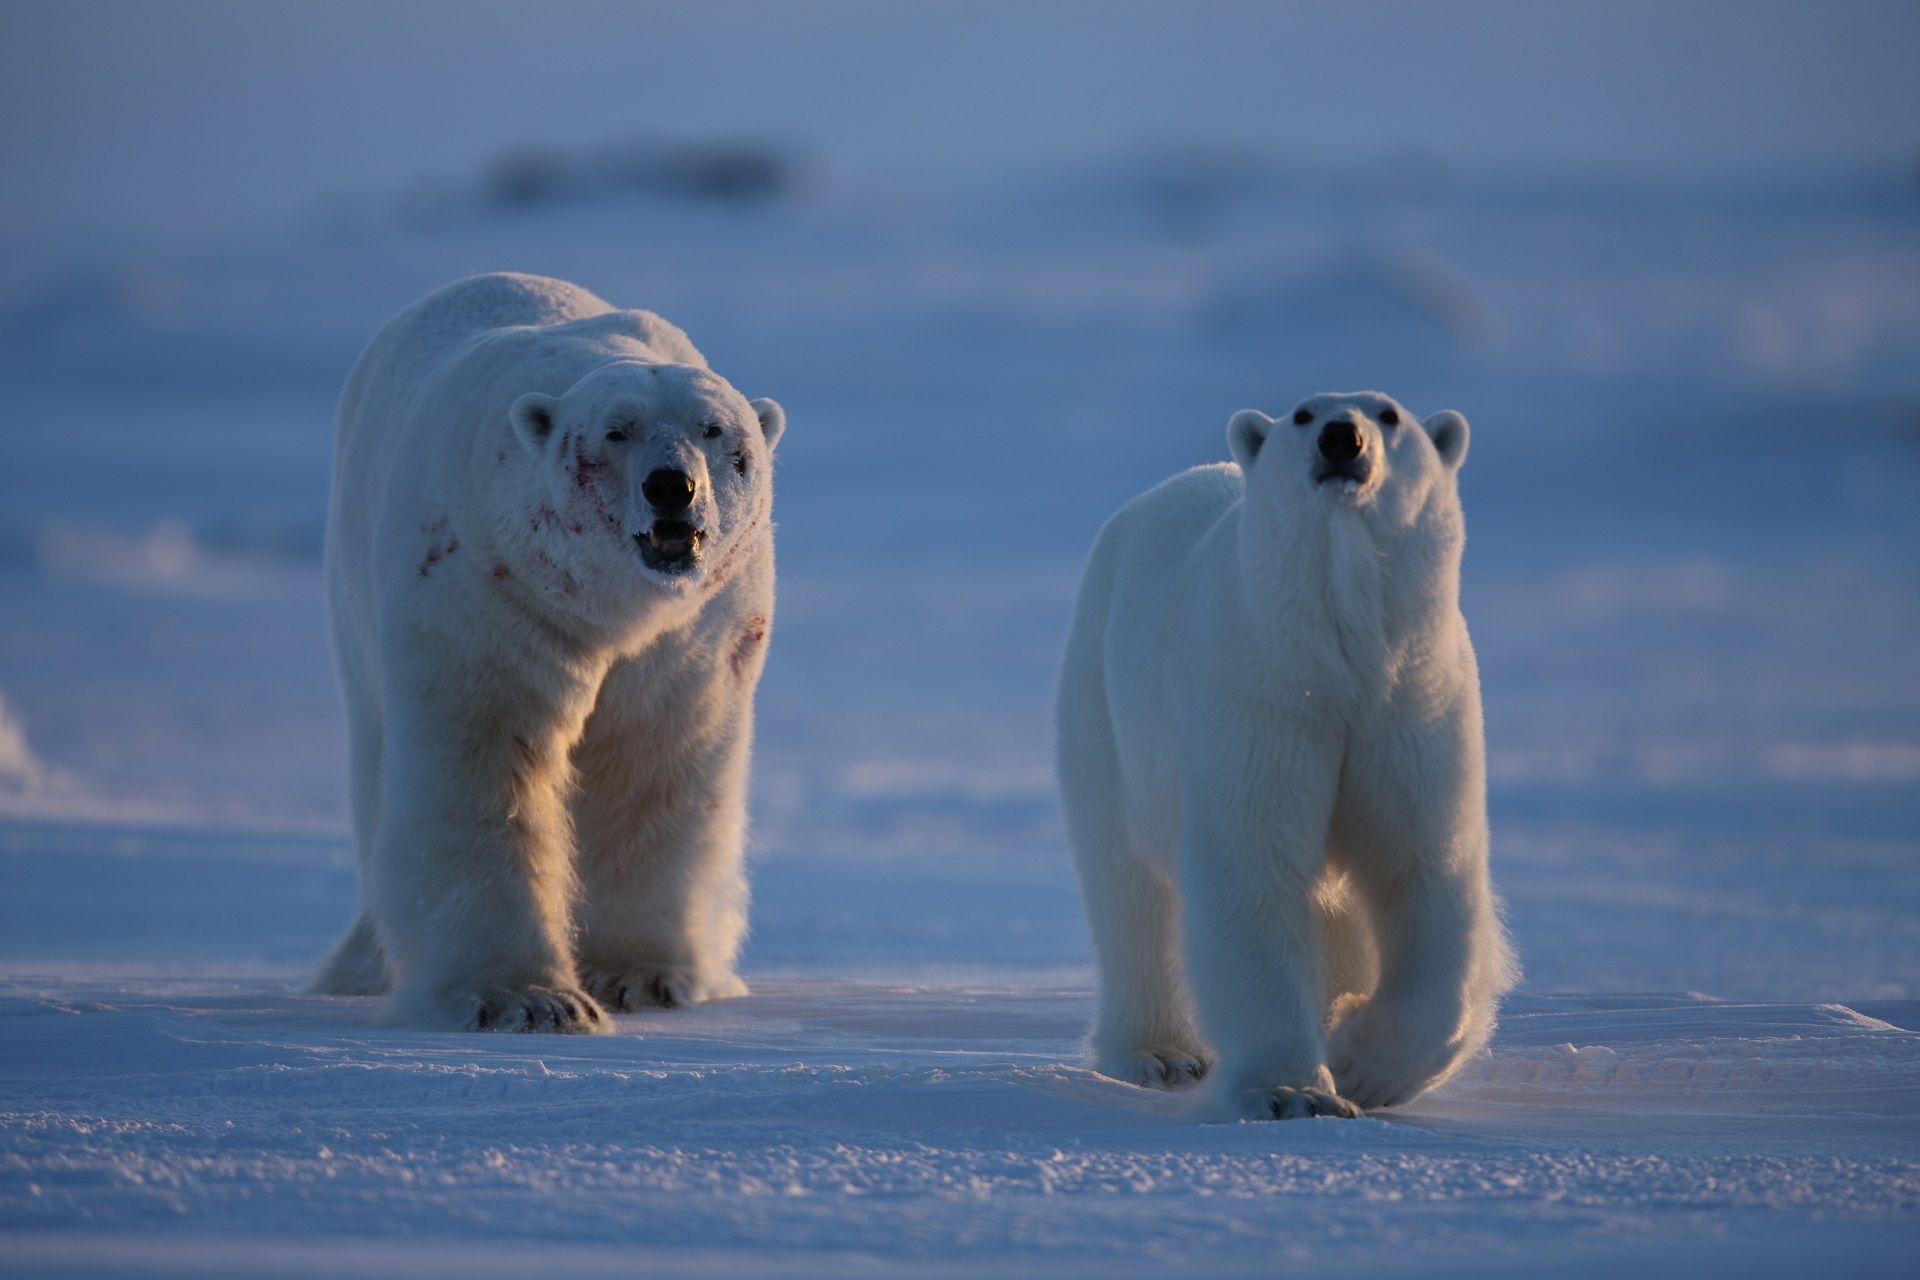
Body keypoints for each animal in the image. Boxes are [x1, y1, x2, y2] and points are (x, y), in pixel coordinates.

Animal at [311, 276, 783, 1036]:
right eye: (615, 432)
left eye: (715, 431)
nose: (670, 486)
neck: (612, 607)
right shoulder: (492, 586)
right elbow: (488, 759)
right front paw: (528, 999)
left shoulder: (691, 635)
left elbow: (648, 761)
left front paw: (637, 975)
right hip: (354, 580)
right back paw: (363, 965)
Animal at [1052, 391, 1512, 1120]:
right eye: (1303, 414)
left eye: (1389, 414)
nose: (1342, 438)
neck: (1339, 653)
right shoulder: (1262, 697)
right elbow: (1254, 865)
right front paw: (1294, 1091)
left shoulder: (1411, 707)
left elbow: (1423, 868)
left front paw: (1359, 1062)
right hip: (1103, 711)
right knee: (1127, 889)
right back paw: (1159, 1054)